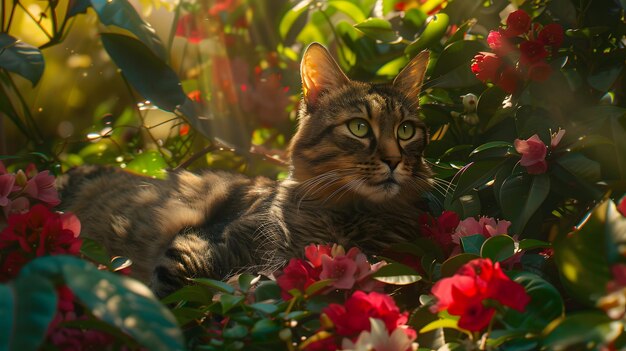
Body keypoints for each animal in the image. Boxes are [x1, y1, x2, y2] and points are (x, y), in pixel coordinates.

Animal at [58, 42, 432, 298]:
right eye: (359, 127)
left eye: (405, 131)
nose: (394, 161)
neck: (347, 215)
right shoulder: (200, 246)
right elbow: (174, 298)